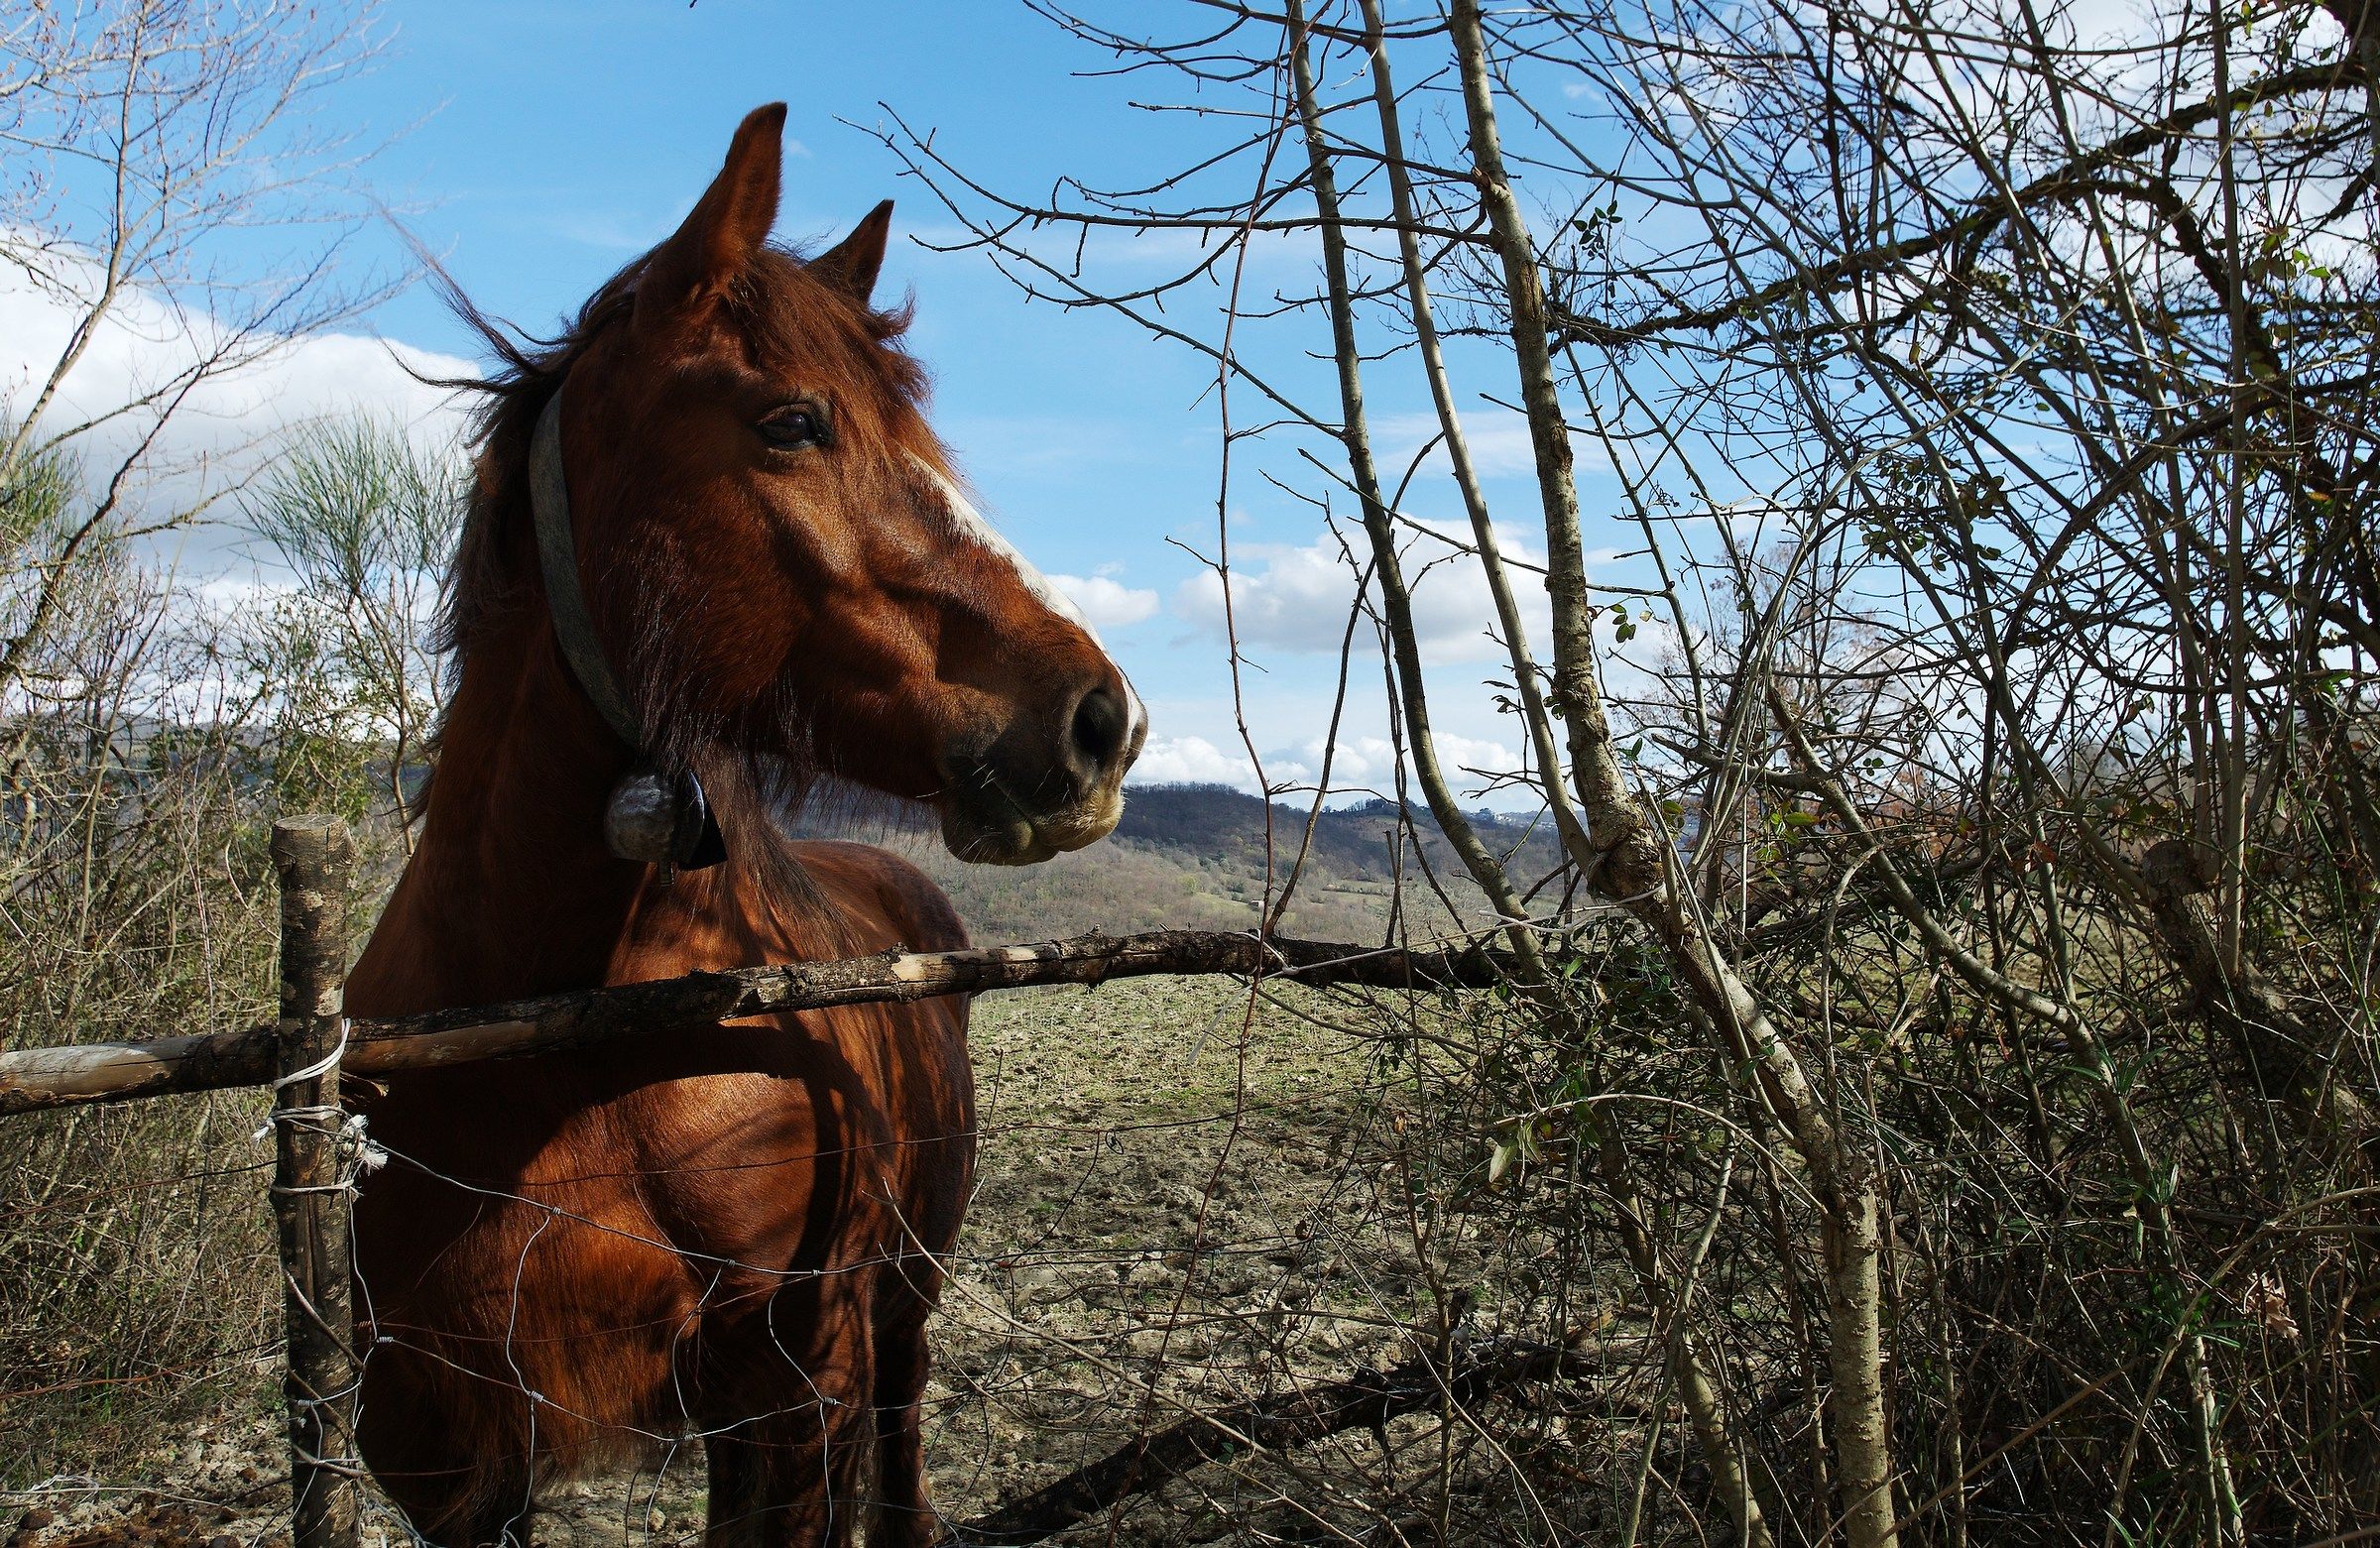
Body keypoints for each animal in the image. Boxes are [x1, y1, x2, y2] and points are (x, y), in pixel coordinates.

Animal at [342, 103, 1144, 1547]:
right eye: (791, 422)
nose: (1099, 720)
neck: (569, 1031)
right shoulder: (443, 1459)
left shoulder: (795, 1384)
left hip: (903, 1309)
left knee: (905, 1437)